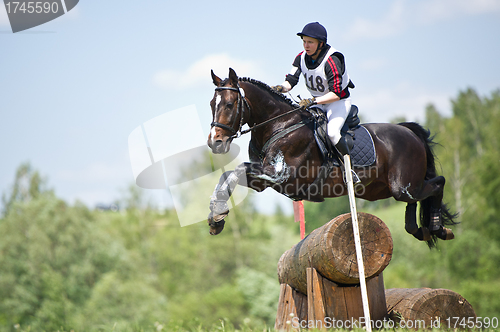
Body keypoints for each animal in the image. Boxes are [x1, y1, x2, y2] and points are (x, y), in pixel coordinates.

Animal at [205, 68, 456, 249]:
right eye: (211, 104)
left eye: (229, 104)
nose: (214, 142)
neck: (279, 125)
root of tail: (409, 131)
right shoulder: (261, 180)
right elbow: (229, 176)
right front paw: (216, 217)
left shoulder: (282, 176)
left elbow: (237, 170)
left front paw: (217, 215)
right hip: (384, 190)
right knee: (415, 201)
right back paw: (421, 230)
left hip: (403, 185)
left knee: (438, 183)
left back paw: (438, 228)